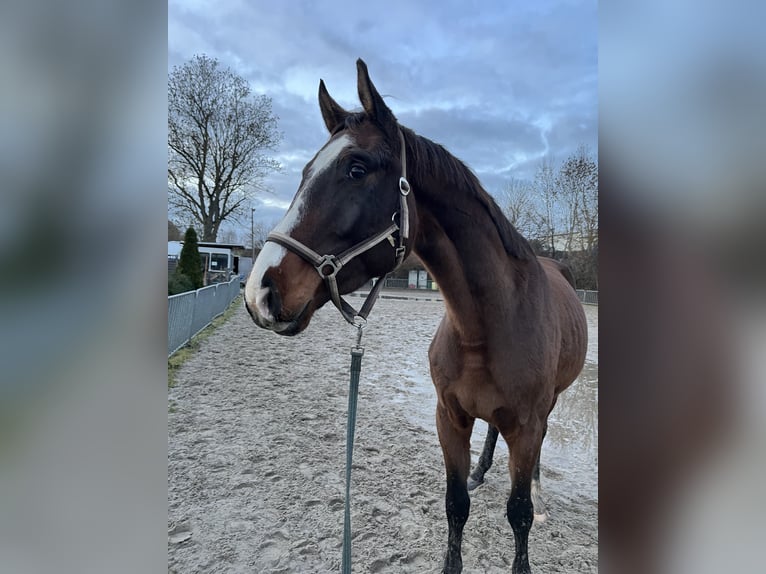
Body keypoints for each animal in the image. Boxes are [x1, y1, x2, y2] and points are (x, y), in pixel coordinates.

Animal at [244, 59, 587, 574]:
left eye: (356, 168)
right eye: (305, 171)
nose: (259, 291)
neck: (486, 326)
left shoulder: (526, 426)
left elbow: (519, 513)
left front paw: (528, 514)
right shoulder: (450, 418)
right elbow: (456, 504)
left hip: (548, 408)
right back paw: (483, 471)